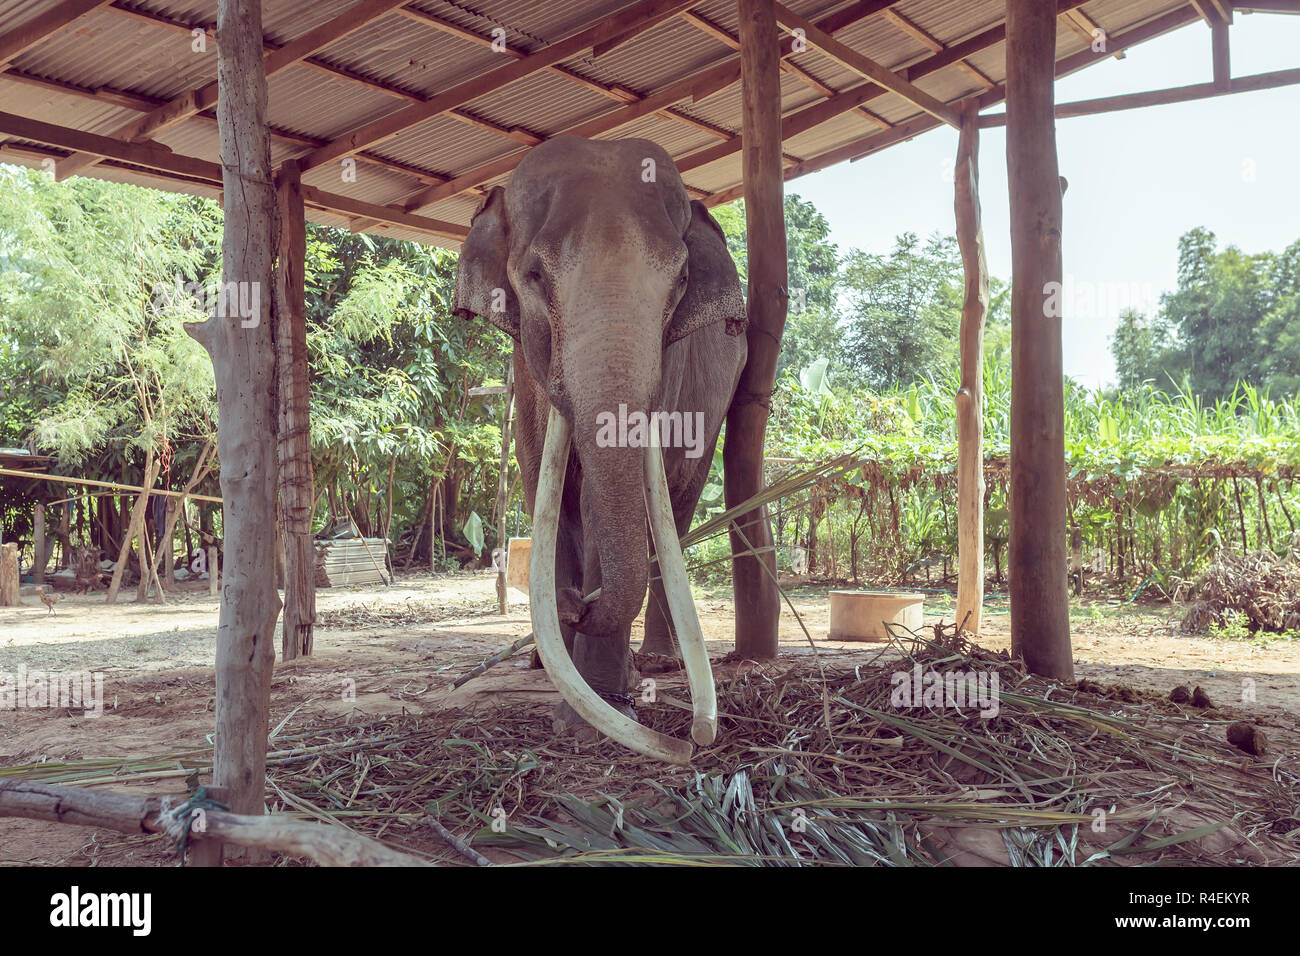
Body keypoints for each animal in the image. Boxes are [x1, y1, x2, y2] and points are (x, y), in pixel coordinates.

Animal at [453, 135, 748, 763]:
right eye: (534, 276)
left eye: (680, 282)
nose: (574, 602)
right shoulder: (525, 375)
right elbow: (547, 488)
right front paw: (561, 679)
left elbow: (604, 500)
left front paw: (590, 719)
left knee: (678, 508)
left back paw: (653, 664)